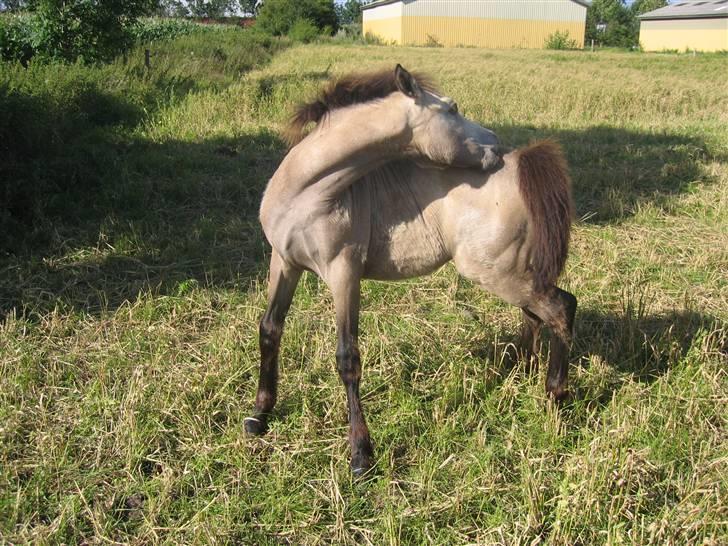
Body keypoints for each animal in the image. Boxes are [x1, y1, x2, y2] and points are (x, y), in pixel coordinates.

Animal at [245, 65, 576, 476]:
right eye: (452, 108)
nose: (495, 145)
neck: (305, 193)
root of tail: (520, 164)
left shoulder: (343, 274)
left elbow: (347, 358)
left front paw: (360, 454)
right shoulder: (284, 263)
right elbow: (270, 330)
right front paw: (260, 414)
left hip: (500, 273)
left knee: (561, 307)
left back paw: (556, 395)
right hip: (513, 270)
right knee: (537, 314)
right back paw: (524, 370)